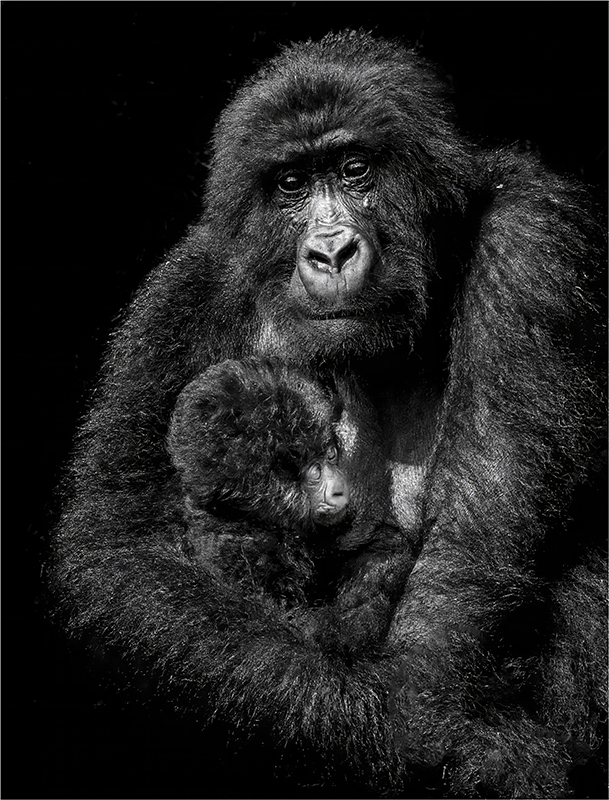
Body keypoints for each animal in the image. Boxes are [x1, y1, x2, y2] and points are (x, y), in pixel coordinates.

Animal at [51, 29, 604, 792]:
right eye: (291, 184)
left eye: (354, 170)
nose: (331, 248)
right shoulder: (192, 281)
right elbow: (124, 546)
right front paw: (384, 724)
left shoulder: (530, 240)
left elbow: (473, 539)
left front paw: (446, 731)